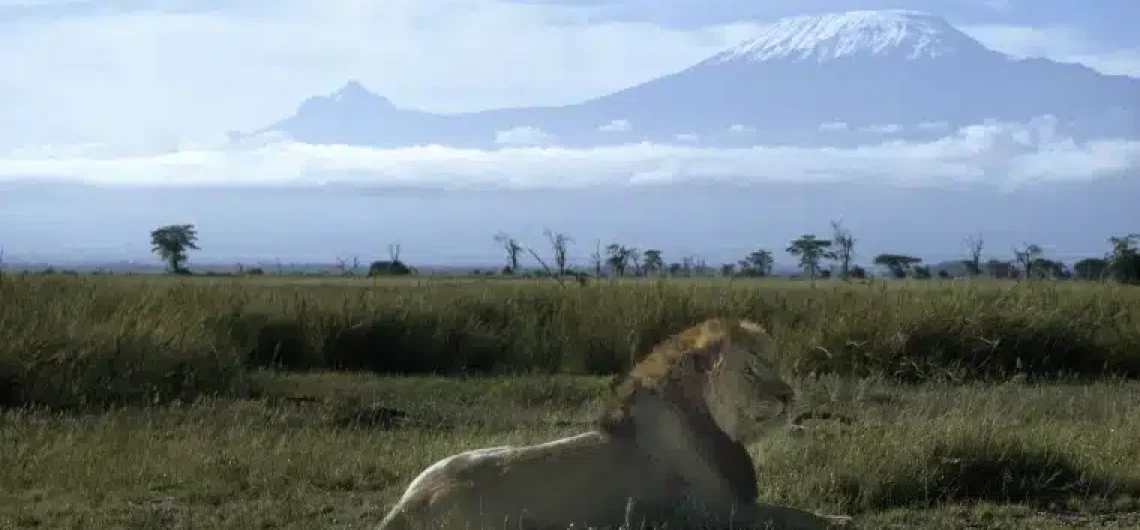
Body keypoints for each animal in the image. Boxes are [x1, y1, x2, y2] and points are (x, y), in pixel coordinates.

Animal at [377, 318, 851, 530]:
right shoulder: (719, 514)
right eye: (751, 371)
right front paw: (840, 519)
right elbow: (799, 515)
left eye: (774, 363)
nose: (789, 397)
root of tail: (404, 507)